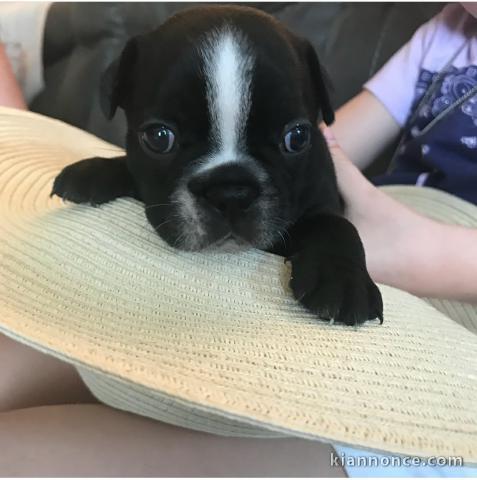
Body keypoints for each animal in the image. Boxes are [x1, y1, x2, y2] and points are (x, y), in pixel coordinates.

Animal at [51, 4, 384, 326]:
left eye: (297, 137)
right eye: (159, 137)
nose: (231, 193)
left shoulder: (323, 198)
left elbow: (337, 225)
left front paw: (343, 280)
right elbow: (129, 168)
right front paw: (92, 172)